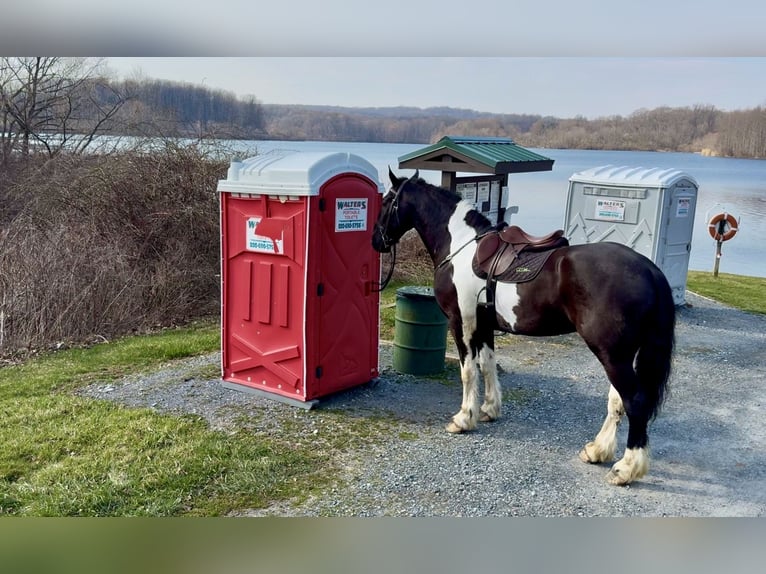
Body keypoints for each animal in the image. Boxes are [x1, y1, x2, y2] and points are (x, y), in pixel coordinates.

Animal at [371, 169, 676, 485]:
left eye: (387, 201)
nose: (376, 240)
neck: (460, 245)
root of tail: (649, 270)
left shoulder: (461, 321)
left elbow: (468, 371)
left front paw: (464, 418)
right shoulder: (485, 324)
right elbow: (487, 365)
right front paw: (489, 409)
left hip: (612, 354)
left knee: (634, 402)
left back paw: (625, 468)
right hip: (620, 354)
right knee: (617, 400)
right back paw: (597, 450)